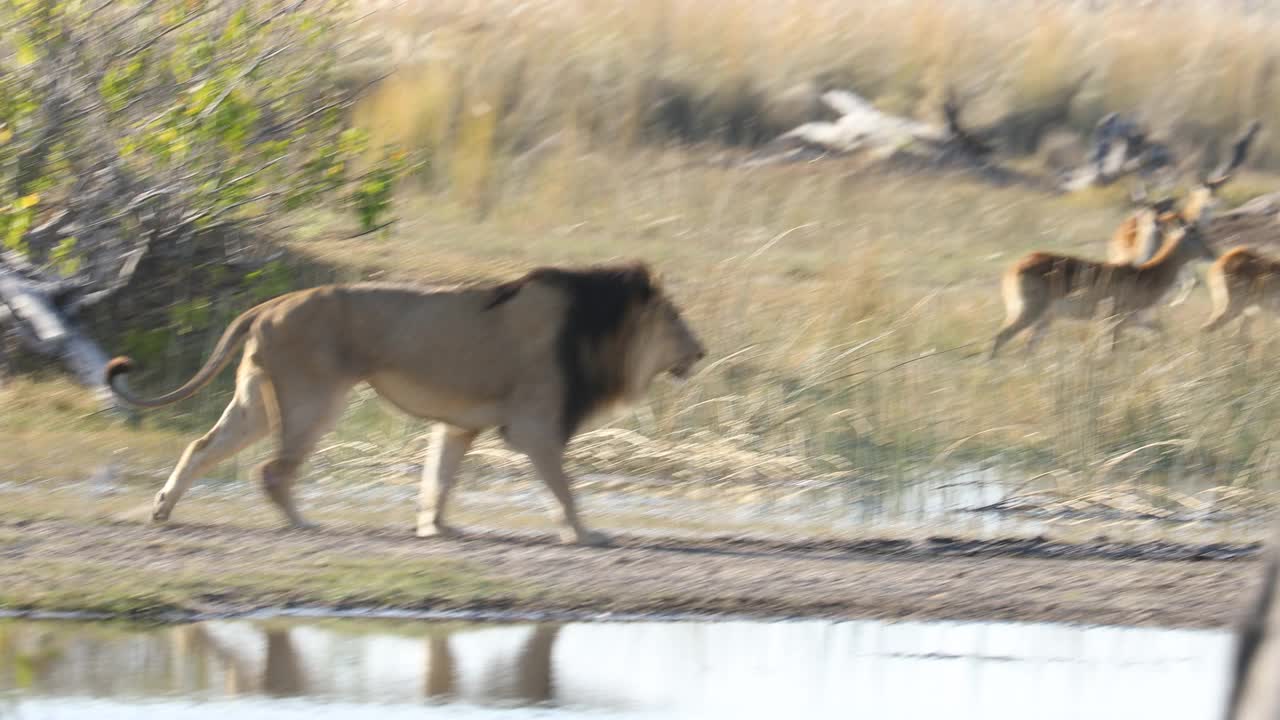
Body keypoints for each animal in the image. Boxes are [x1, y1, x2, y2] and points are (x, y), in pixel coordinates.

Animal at [106, 262, 711, 543]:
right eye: (677, 320)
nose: (702, 351)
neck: (596, 331)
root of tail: (271, 303)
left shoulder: (460, 424)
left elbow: (439, 478)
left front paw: (436, 529)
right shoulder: (536, 426)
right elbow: (565, 490)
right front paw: (585, 535)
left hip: (256, 403)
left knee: (200, 446)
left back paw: (162, 510)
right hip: (315, 398)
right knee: (272, 469)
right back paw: (303, 524)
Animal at [988, 215, 1218, 356]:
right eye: (1196, 235)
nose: (1213, 254)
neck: (1146, 274)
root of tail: (1013, 268)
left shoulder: (1134, 319)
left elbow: (1162, 332)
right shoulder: (1117, 319)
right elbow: (1112, 349)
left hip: (1043, 319)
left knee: (1027, 346)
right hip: (1029, 313)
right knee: (1001, 336)